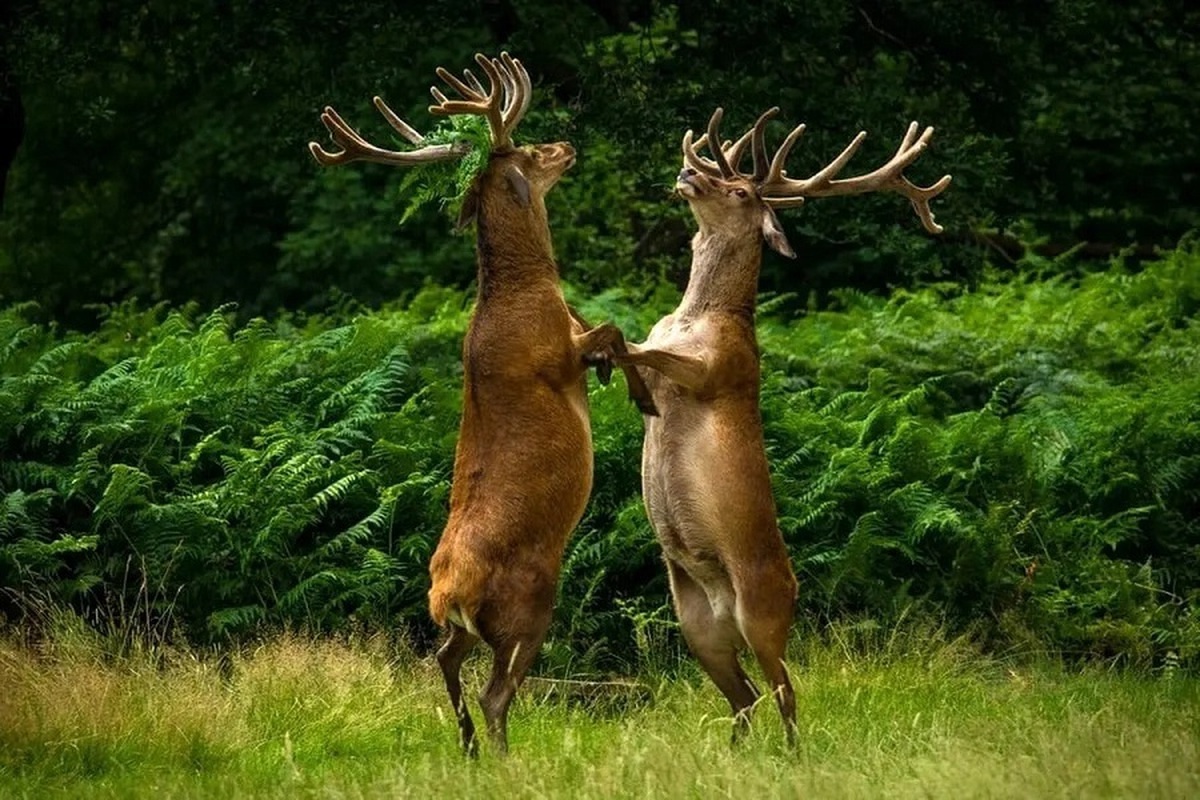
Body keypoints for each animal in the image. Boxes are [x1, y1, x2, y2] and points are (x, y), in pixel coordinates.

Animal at [304, 53, 652, 753]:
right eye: (529, 150)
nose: (567, 145)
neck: (527, 290)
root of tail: (446, 594)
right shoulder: (557, 353)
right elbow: (612, 332)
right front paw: (635, 387)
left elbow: (609, 330)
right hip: (527, 604)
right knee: (497, 692)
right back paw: (502, 754)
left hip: (463, 627)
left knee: (444, 661)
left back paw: (465, 746)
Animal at [614, 107, 950, 743]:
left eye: (740, 191)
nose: (687, 174)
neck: (696, 317)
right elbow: (634, 350)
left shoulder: (720, 368)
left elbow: (640, 347)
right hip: (697, 625)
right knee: (745, 697)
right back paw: (737, 749)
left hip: (764, 612)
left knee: (786, 693)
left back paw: (791, 753)